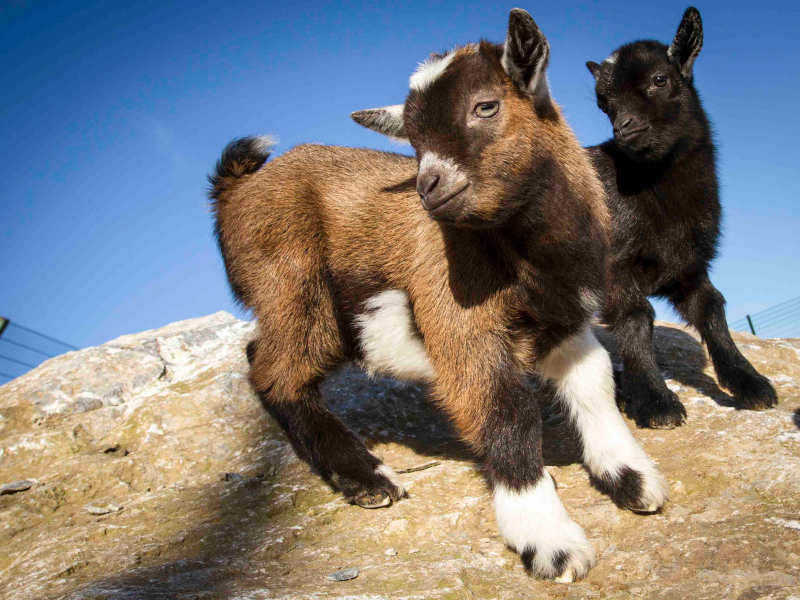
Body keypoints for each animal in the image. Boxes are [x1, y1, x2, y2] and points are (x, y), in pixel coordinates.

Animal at [212, 10, 668, 580]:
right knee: (275, 372)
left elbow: (596, 382)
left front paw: (632, 477)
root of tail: (235, 191)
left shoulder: (564, 316)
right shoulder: (462, 326)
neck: (525, 253)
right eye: (411, 139)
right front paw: (550, 540)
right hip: (291, 282)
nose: (428, 186)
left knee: (263, 354)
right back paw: (370, 477)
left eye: (486, 106)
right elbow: (506, 411)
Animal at [584, 7, 780, 428]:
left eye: (661, 79)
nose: (624, 127)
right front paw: (656, 401)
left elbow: (712, 308)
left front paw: (749, 383)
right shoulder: (615, 267)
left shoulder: (688, 265)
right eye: (604, 102)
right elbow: (636, 317)